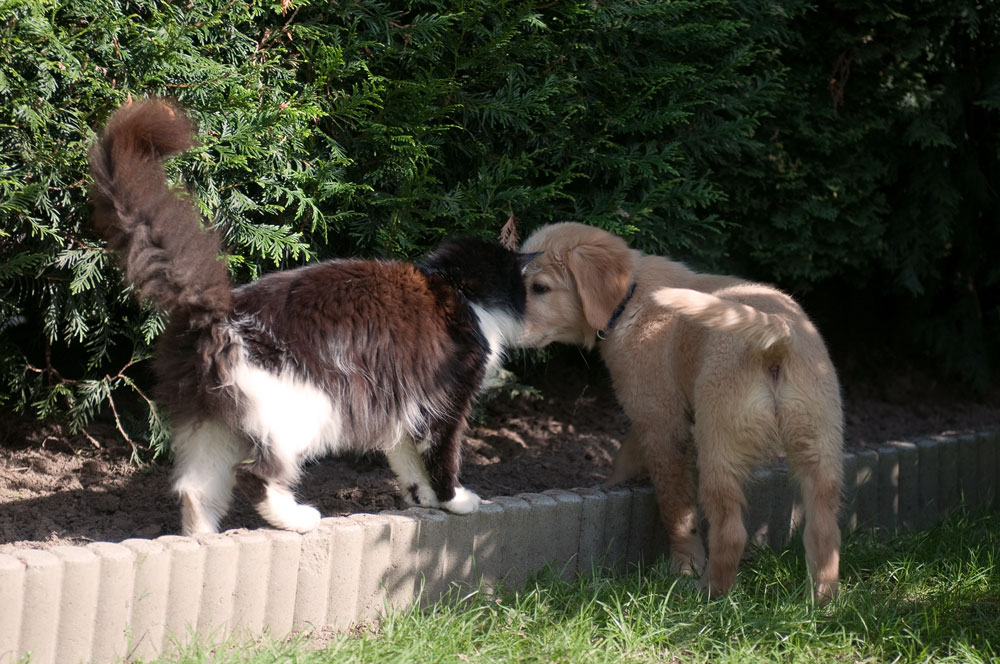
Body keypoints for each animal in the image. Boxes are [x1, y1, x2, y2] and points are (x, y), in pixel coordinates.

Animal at [520, 222, 840, 600]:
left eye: (540, 288)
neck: (630, 296)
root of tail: (778, 334)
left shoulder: (661, 422)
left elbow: (676, 509)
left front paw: (684, 565)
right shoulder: (648, 412)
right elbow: (627, 455)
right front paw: (613, 483)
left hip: (718, 440)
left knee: (730, 530)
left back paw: (708, 593)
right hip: (819, 441)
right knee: (824, 530)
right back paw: (823, 600)